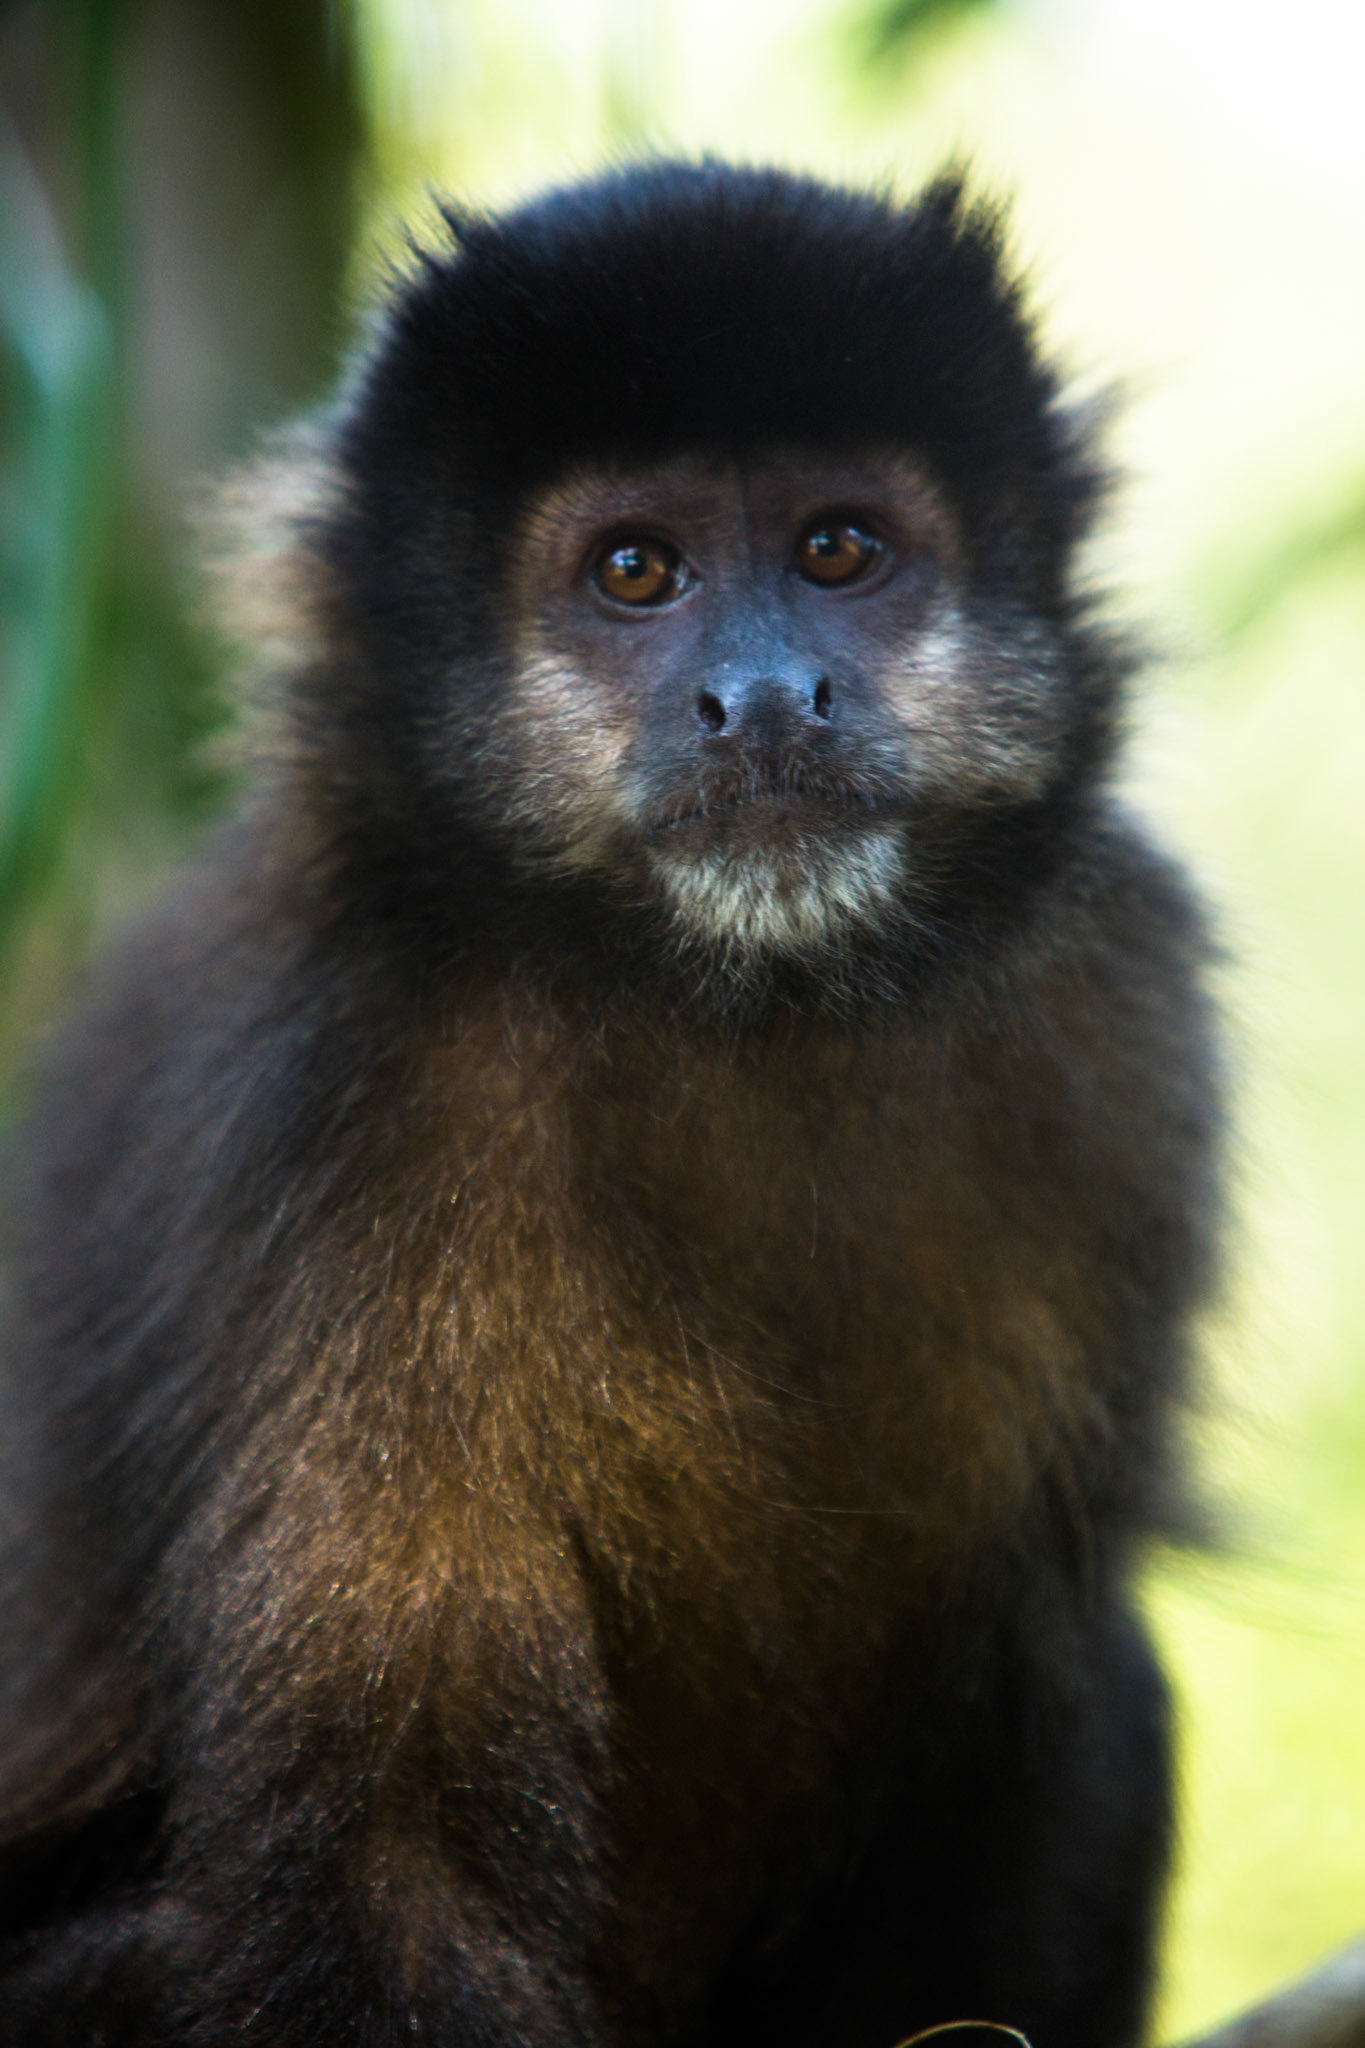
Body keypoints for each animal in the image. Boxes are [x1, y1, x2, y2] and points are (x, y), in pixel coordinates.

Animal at [0, 161, 1223, 2048]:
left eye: (839, 550)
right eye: (635, 571)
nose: (769, 696)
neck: (727, 1010)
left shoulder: (1123, 1008)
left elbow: (1036, 1669)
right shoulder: (348, 1094)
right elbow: (389, 1839)